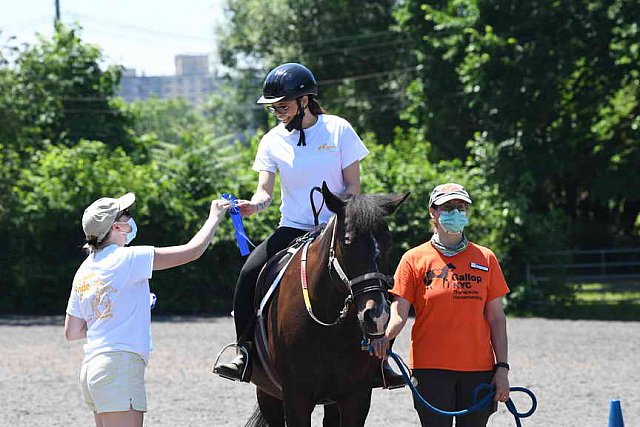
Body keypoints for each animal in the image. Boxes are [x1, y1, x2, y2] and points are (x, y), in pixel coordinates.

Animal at [248, 185, 408, 427]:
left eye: (388, 242)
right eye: (348, 242)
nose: (377, 315)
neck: (328, 323)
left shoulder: (356, 397)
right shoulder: (296, 397)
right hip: (267, 394)